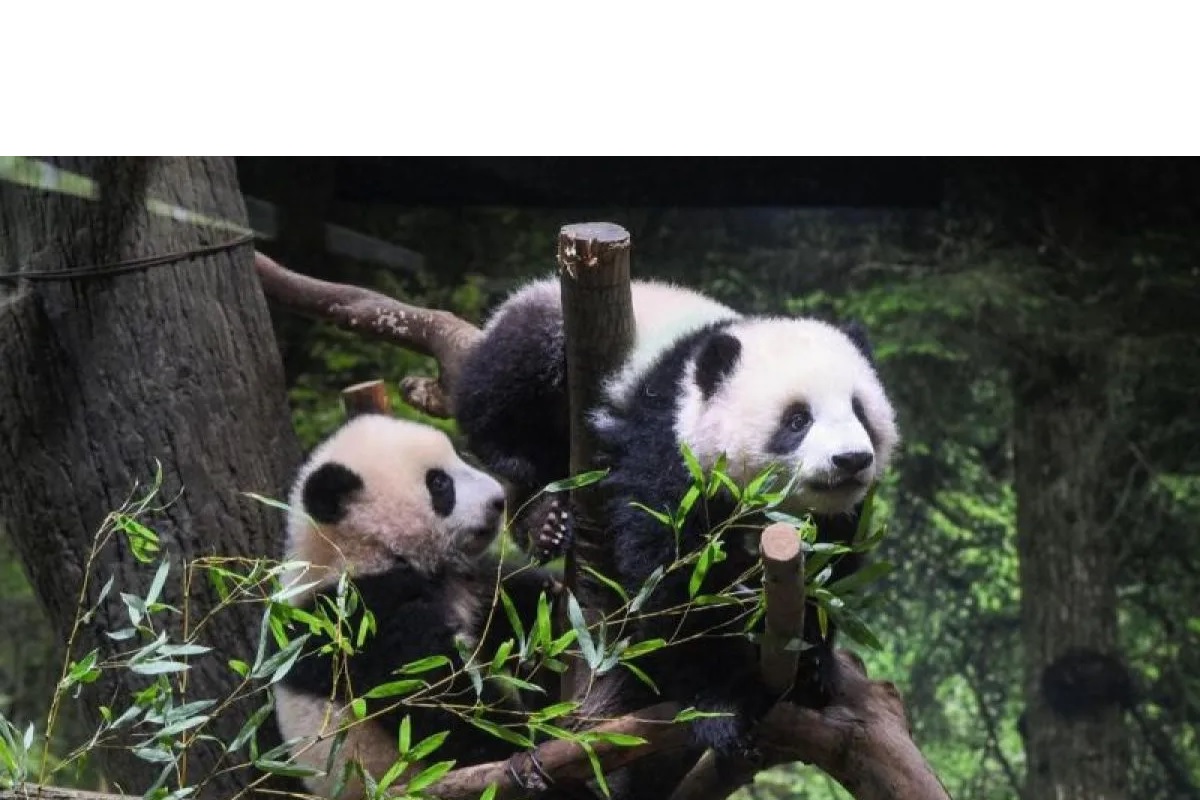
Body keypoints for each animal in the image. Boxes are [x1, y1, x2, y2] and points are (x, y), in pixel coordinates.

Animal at [272, 413, 563, 800]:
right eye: (439, 483)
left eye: (460, 456)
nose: (499, 501)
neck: (361, 551)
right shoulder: (362, 619)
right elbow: (435, 698)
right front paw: (524, 745)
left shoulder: (463, 582)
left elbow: (508, 607)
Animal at [451, 274, 899, 775]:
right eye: (797, 419)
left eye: (860, 411)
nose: (851, 460)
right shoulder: (666, 444)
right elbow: (671, 577)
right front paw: (720, 704)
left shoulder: (835, 516)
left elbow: (830, 569)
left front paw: (812, 666)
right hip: (544, 327)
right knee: (502, 387)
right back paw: (542, 510)